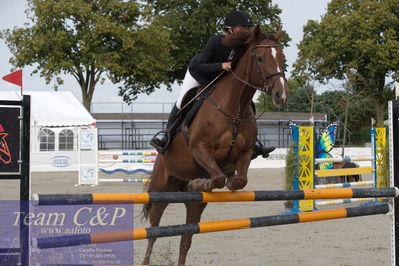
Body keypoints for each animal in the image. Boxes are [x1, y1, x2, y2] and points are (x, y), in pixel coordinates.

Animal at [142, 26, 290, 264]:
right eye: (259, 58)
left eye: (283, 58)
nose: (281, 95)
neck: (234, 108)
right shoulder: (198, 147)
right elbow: (218, 176)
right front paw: (201, 183)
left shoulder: (246, 152)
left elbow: (238, 180)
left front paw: (215, 182)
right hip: (161, 189)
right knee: (153, 231)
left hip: (195, 204)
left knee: (185, 239)